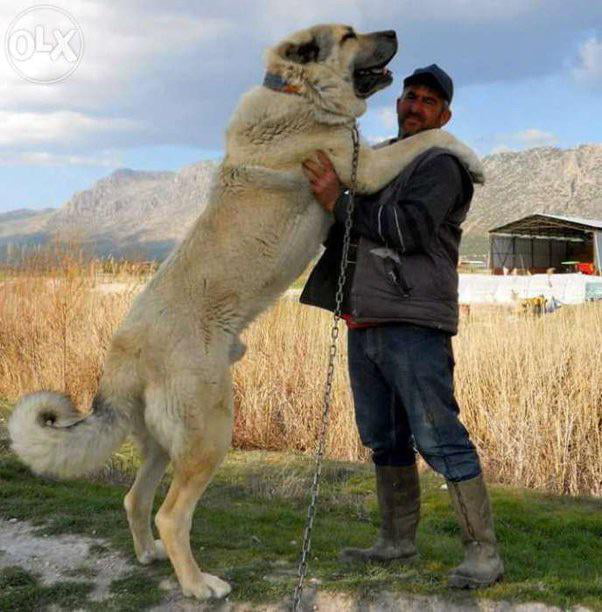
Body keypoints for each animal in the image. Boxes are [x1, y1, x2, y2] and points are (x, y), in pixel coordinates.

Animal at [9, 25, 482, 604]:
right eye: (349, 34)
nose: (393, 31)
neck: (298, 92)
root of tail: (123, 356)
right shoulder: (363, 167)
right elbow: (425, 142)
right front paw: (474, 160)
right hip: (210, 433)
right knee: (171, 514)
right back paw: (198, 584)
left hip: (165, 443)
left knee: (135, 498)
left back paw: (149, 556)